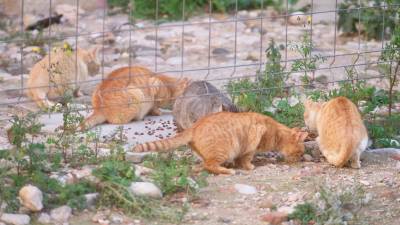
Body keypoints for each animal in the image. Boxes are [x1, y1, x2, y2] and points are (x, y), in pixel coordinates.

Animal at [133, 111, 308, 175]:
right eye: (300, 152)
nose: (299, 159)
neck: (276, 132)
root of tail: (195, 126)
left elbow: (239, 159)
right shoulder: (251, 144)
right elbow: (246, 159)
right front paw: (248, 167)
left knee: (204, 164)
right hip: (223, 150)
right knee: (210, 165)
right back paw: (226, 171)